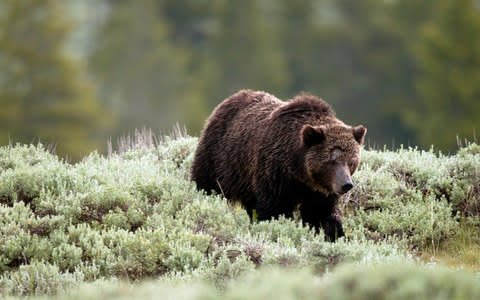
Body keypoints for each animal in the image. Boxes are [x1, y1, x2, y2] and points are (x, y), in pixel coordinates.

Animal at [189, 89, 366, 241]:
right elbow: (273, 211)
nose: (346, 184)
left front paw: (334, 235)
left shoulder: (319, 191)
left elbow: (323, 214)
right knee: (207, 185)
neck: (299, 171)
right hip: (220, 159)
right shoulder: (275, 173)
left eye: (351, 161)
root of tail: (227, 101)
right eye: (332, 160)